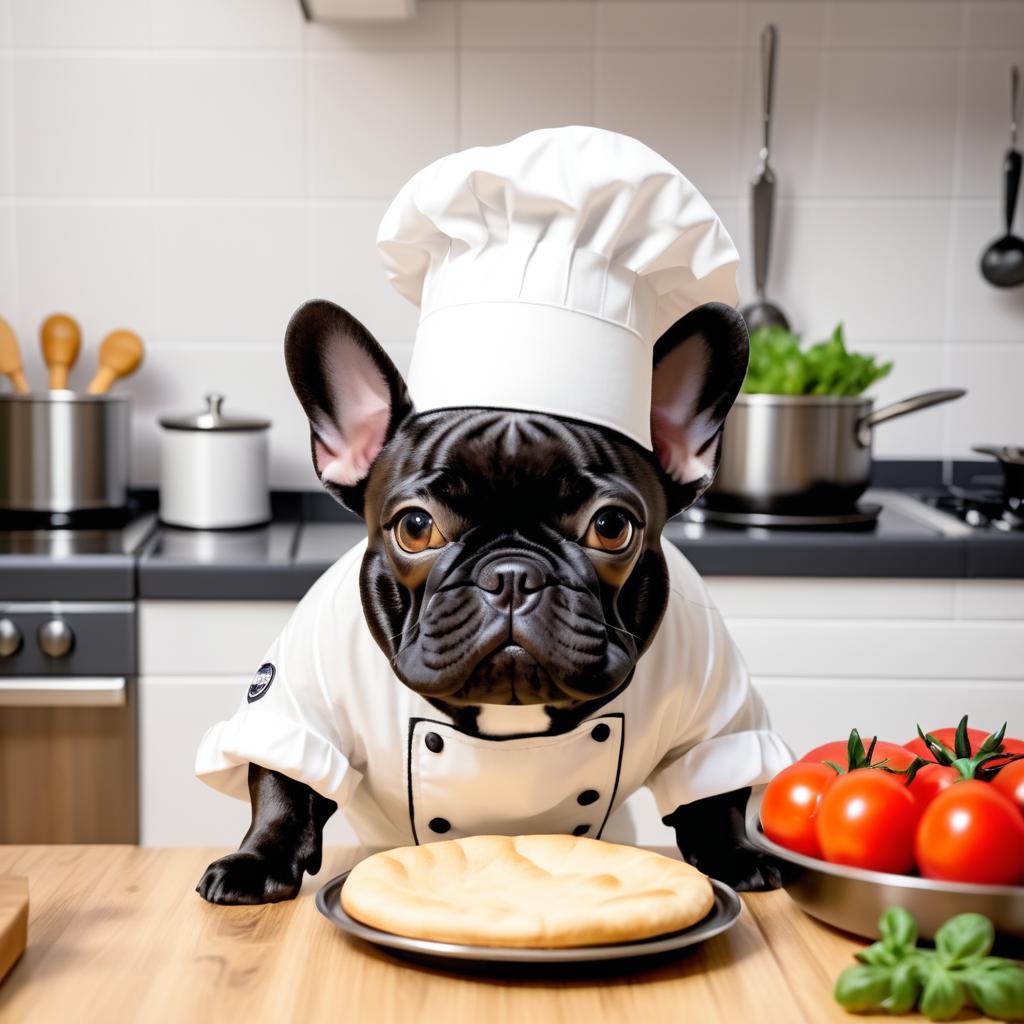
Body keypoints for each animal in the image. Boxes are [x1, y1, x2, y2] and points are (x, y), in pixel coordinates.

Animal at [193, 299, 782, 905]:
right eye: (415, 527)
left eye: (611, 526)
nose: (512, 574)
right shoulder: (299, 696)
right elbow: (281, 783)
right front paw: (256, 861)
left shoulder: (713, 704)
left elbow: (715, 792)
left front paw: (734, 854)